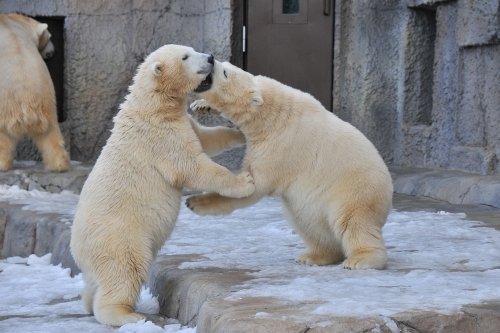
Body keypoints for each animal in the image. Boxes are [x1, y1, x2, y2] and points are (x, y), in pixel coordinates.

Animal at [0, 12, 69, 171]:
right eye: (49, 36)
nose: (52, 51)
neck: (9, 21)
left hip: (5, 107)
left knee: (3, 137)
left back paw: (1, 164)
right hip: (48, 104)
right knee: (51, 134)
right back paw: (60, 164)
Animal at [70, 45, 254, 326]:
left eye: (191, 50)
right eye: (186, 57)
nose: (211, 58)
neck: (153, 106)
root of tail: (77, 250)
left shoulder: (179, 122)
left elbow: (206, 139)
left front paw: (239, 133)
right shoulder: (160, 138)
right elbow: (193, 166)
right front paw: (245, 182)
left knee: (98, 281)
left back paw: (91, 302)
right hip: (120, 237)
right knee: (127, 269)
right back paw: (127, 314)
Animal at [186, 60, 392, 270]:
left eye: (226, 72)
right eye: (225, 64)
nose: (212, 60)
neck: (270, 116)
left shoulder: (279, 146)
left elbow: (255, 185)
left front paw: (195, 202)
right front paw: (201, 105)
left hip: (354, 191)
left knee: (353, 222)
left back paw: (360, 259)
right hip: (315, 205)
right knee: (308, 224)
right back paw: (314, 256)